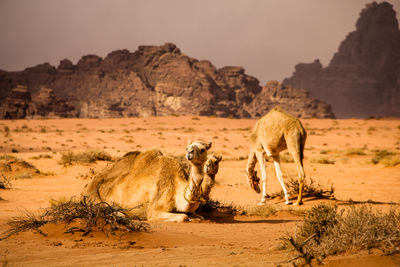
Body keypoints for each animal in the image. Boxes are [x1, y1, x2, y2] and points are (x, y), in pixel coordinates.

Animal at [83, 141, 212, 223]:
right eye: (186, 147)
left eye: (203, 149)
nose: (190, 152)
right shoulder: (154, 210)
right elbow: (183, 217)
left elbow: (199, 217)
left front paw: (195, 218)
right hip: (92, 196)